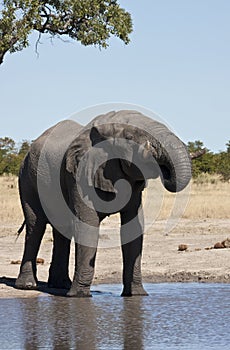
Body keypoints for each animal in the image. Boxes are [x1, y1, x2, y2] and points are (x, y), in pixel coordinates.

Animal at [13, 109, 190, 296]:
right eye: (130, 137)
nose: (163, 168)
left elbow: (133, 227)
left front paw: (137, 295)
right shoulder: (79, 174)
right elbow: (88, 224)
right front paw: (80, 297)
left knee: (62, 228)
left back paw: (61, 285)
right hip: (27, 177)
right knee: (36, 225)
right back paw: (28, 286)